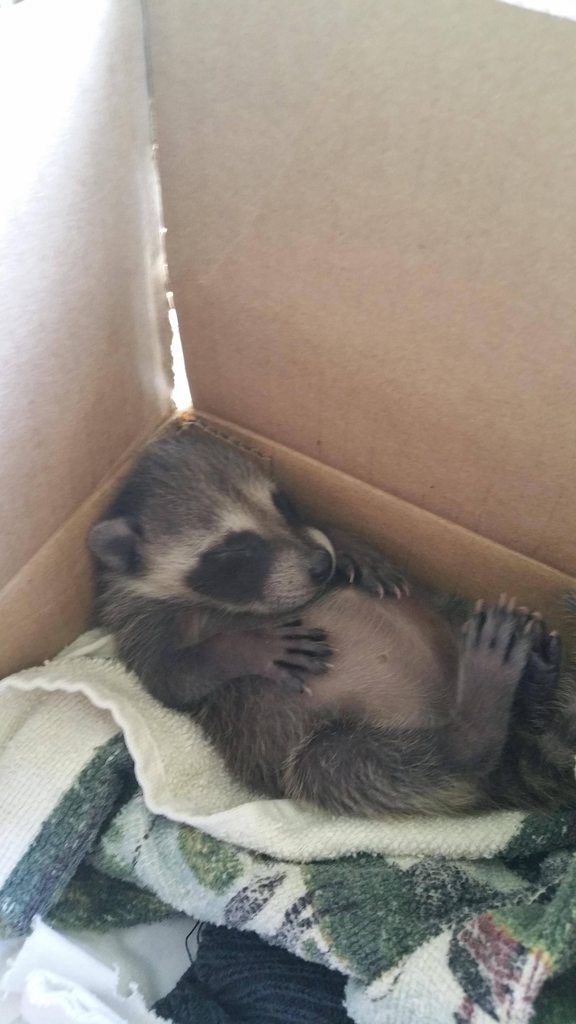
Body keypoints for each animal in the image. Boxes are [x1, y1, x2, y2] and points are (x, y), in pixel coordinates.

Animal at [88, 423, 576, 817]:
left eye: (283, 503)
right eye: (236, 550)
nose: (322, 565)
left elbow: (327, 529)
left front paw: (350, 547)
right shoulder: (135, 624)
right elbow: (172, 680)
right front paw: (252, 646)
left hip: (450, 614)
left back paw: (533, 689)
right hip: (320, 753)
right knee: (345, 764)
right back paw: (476, 727)